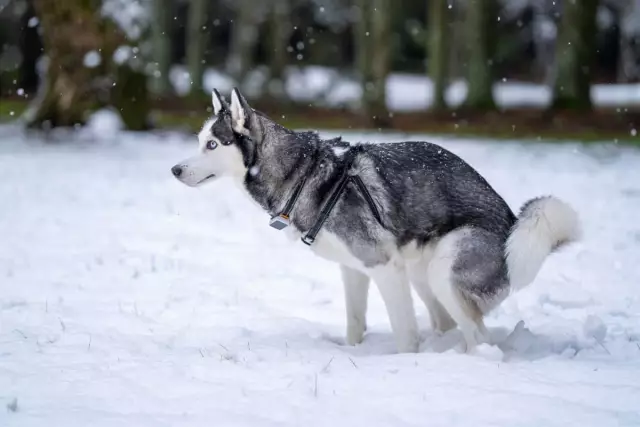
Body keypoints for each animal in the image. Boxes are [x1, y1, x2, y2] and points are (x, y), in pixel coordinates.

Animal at [171, 88, 580, 354]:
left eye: (212, 144)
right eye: (199, 140)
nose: (175, 170)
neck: (304, 174)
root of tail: (512, 224)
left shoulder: (384, 267)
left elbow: (404, 334)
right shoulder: (354, 270)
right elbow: (355, 322)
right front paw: (353, 351)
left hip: (443, 270)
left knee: (479, 337)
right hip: (420, 271)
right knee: (452, 326)